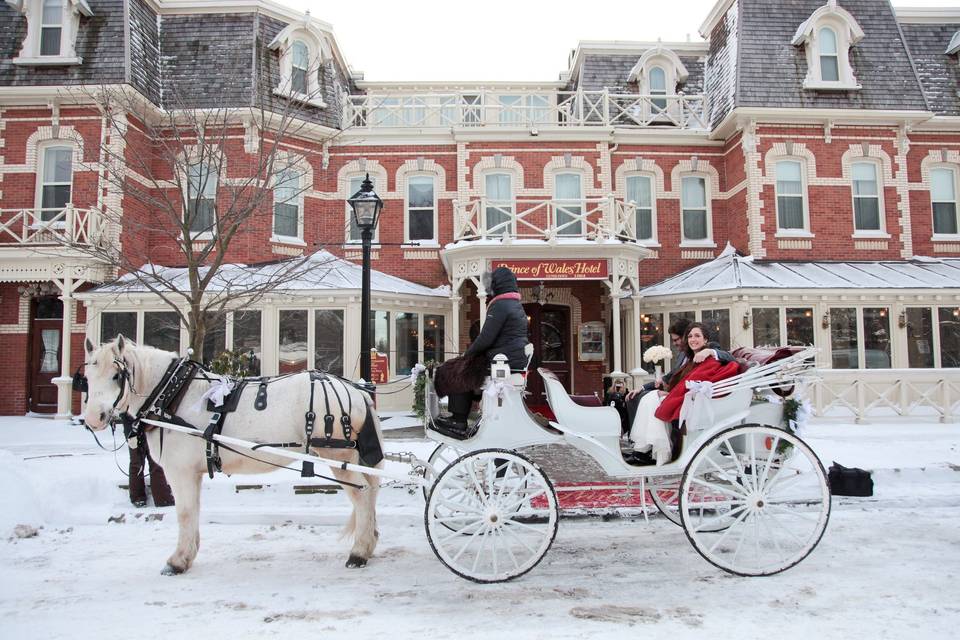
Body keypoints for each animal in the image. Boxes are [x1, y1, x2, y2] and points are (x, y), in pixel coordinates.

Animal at [81, 336, 382, 576]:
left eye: (117, 376)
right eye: (87, 378)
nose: (93, 419)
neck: (173, 396)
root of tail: (356, 392)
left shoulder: (179, 471)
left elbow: (185, 512)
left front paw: (177, 561)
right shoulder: (192, 472)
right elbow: (194, 511)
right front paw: (189, 554)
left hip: (338, 454)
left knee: (363, 495)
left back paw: (359, 552)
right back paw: (369, 543)